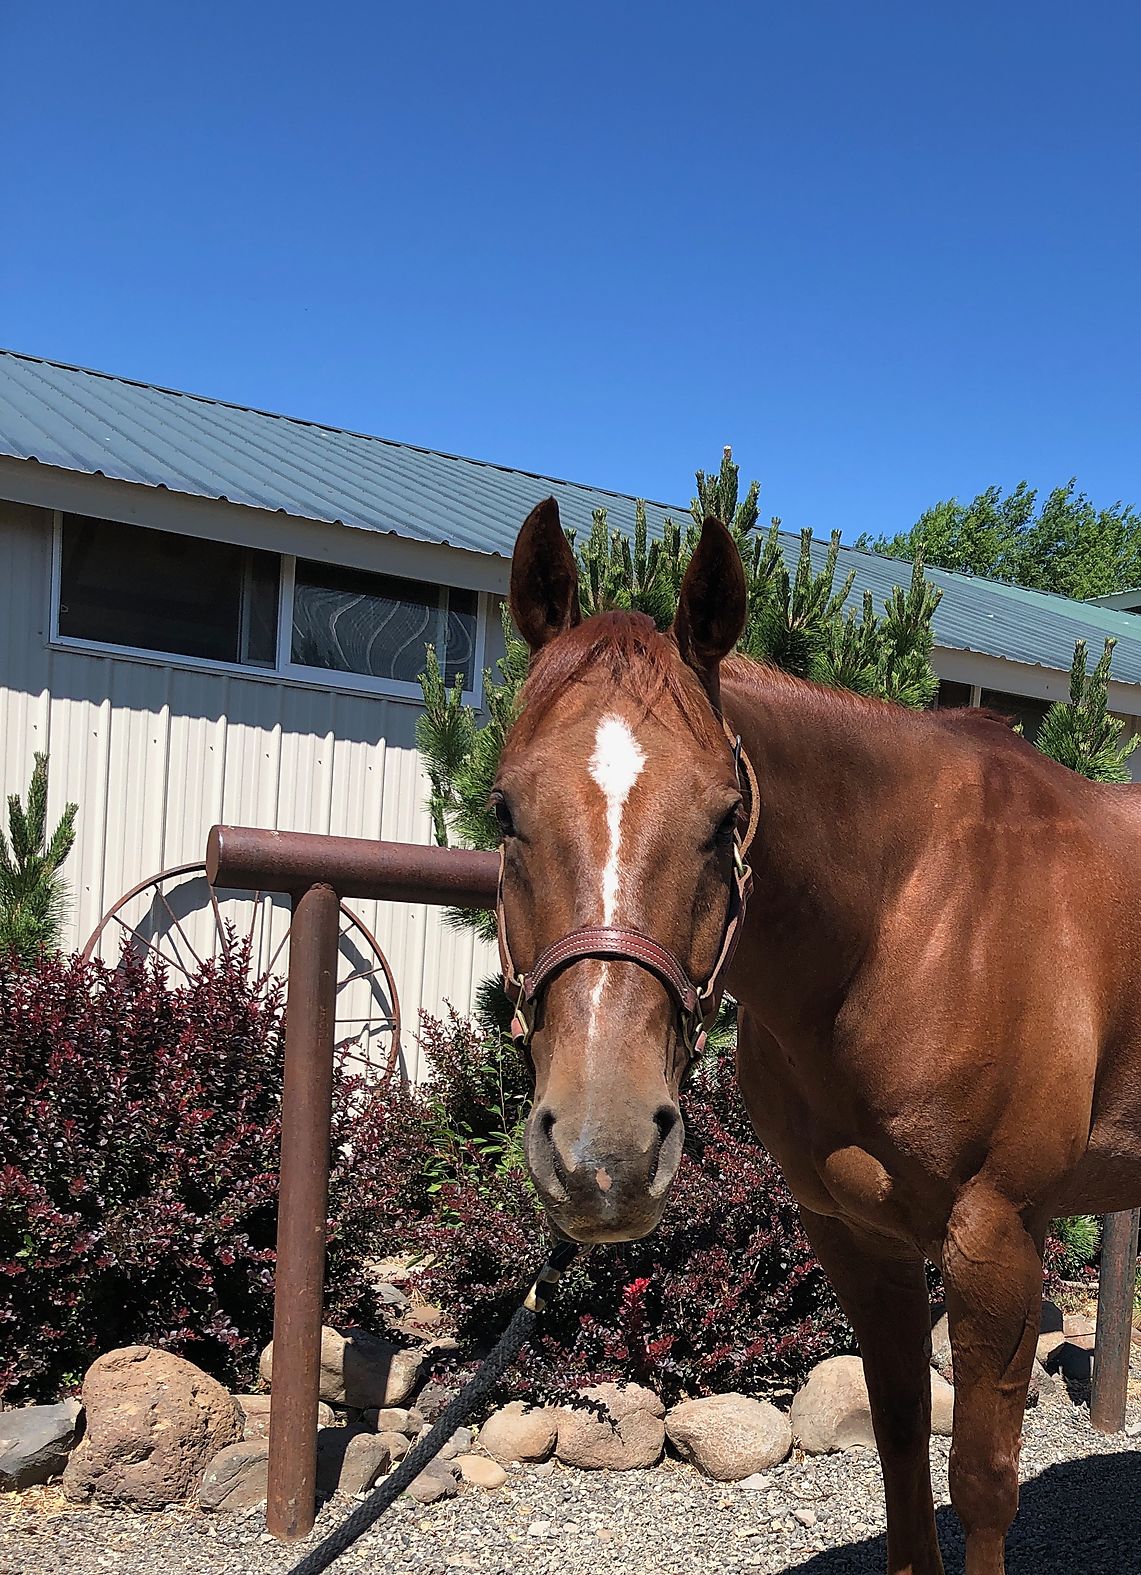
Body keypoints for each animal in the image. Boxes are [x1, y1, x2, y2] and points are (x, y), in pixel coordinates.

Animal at [494, 496, 1141, 1575]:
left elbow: (982, 1481)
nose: (602, 1157)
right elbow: (899, 1449)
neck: (913, 915)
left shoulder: (998, 1235)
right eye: (503, 809)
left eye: (725, 818)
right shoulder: (853, 1235)